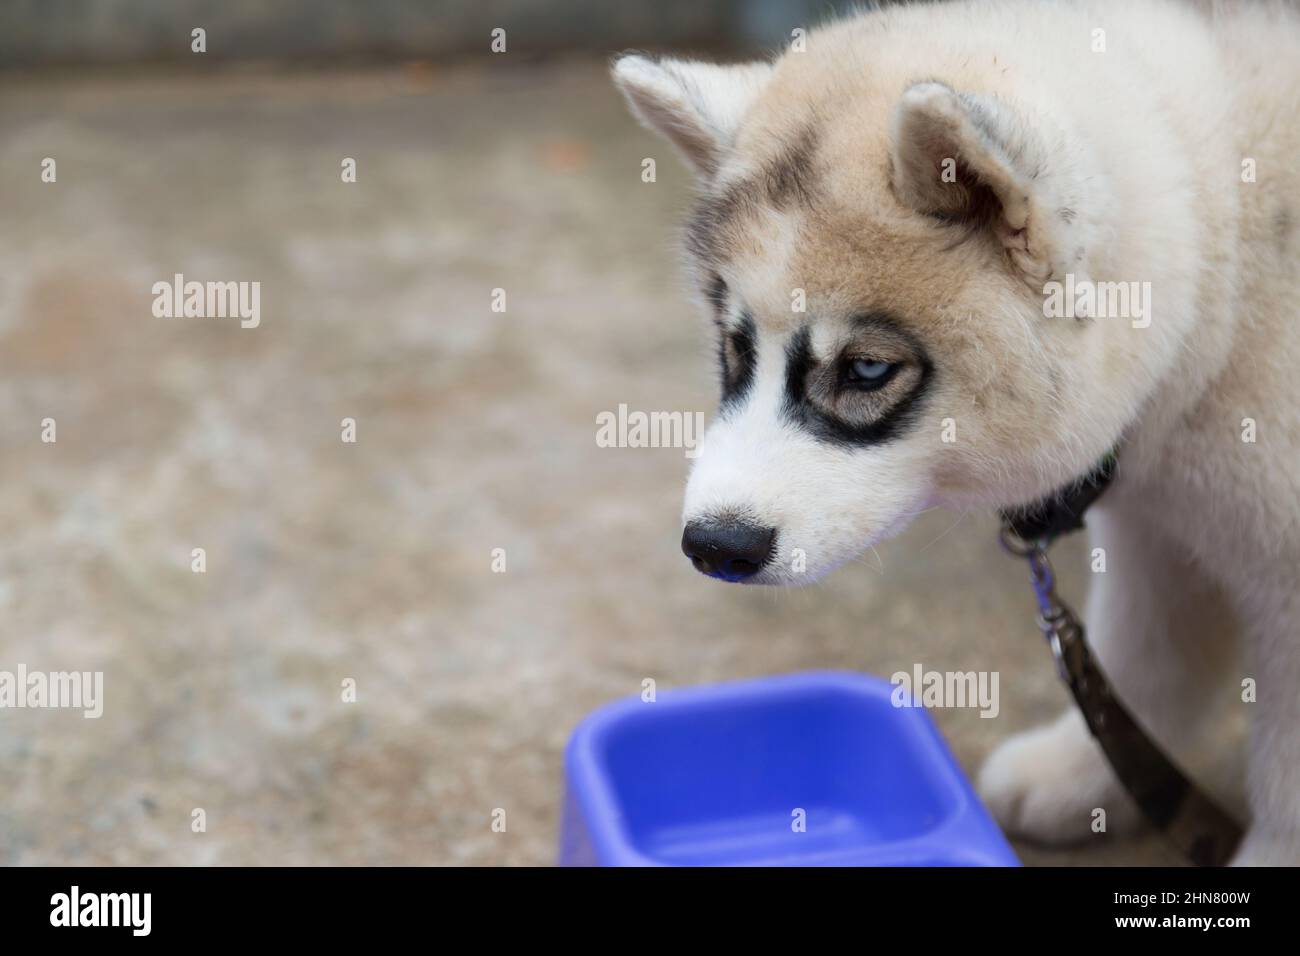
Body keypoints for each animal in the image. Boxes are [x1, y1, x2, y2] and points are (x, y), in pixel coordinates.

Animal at [611, 0, 1300, 863]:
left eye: (868, 370)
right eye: (736, 349)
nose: (713, 545)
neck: (1224, 257)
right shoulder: (1157, 527)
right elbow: (1145, 651)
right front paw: (1085, 773)